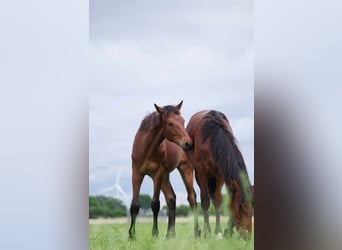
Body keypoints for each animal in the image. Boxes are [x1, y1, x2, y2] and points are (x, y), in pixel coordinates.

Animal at [127, 100, 199, 239]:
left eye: (183, 121)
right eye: (170, 123)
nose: (189, 143)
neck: (147, 148)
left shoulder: (157, 174)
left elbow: (155, 204)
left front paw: (155, 233)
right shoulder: (136, 173)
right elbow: (134, 205)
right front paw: (131, 235)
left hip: (185, 169)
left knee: (192, 198)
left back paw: (197, 232)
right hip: (166, 176)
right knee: (171, 198)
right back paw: (170, 234)